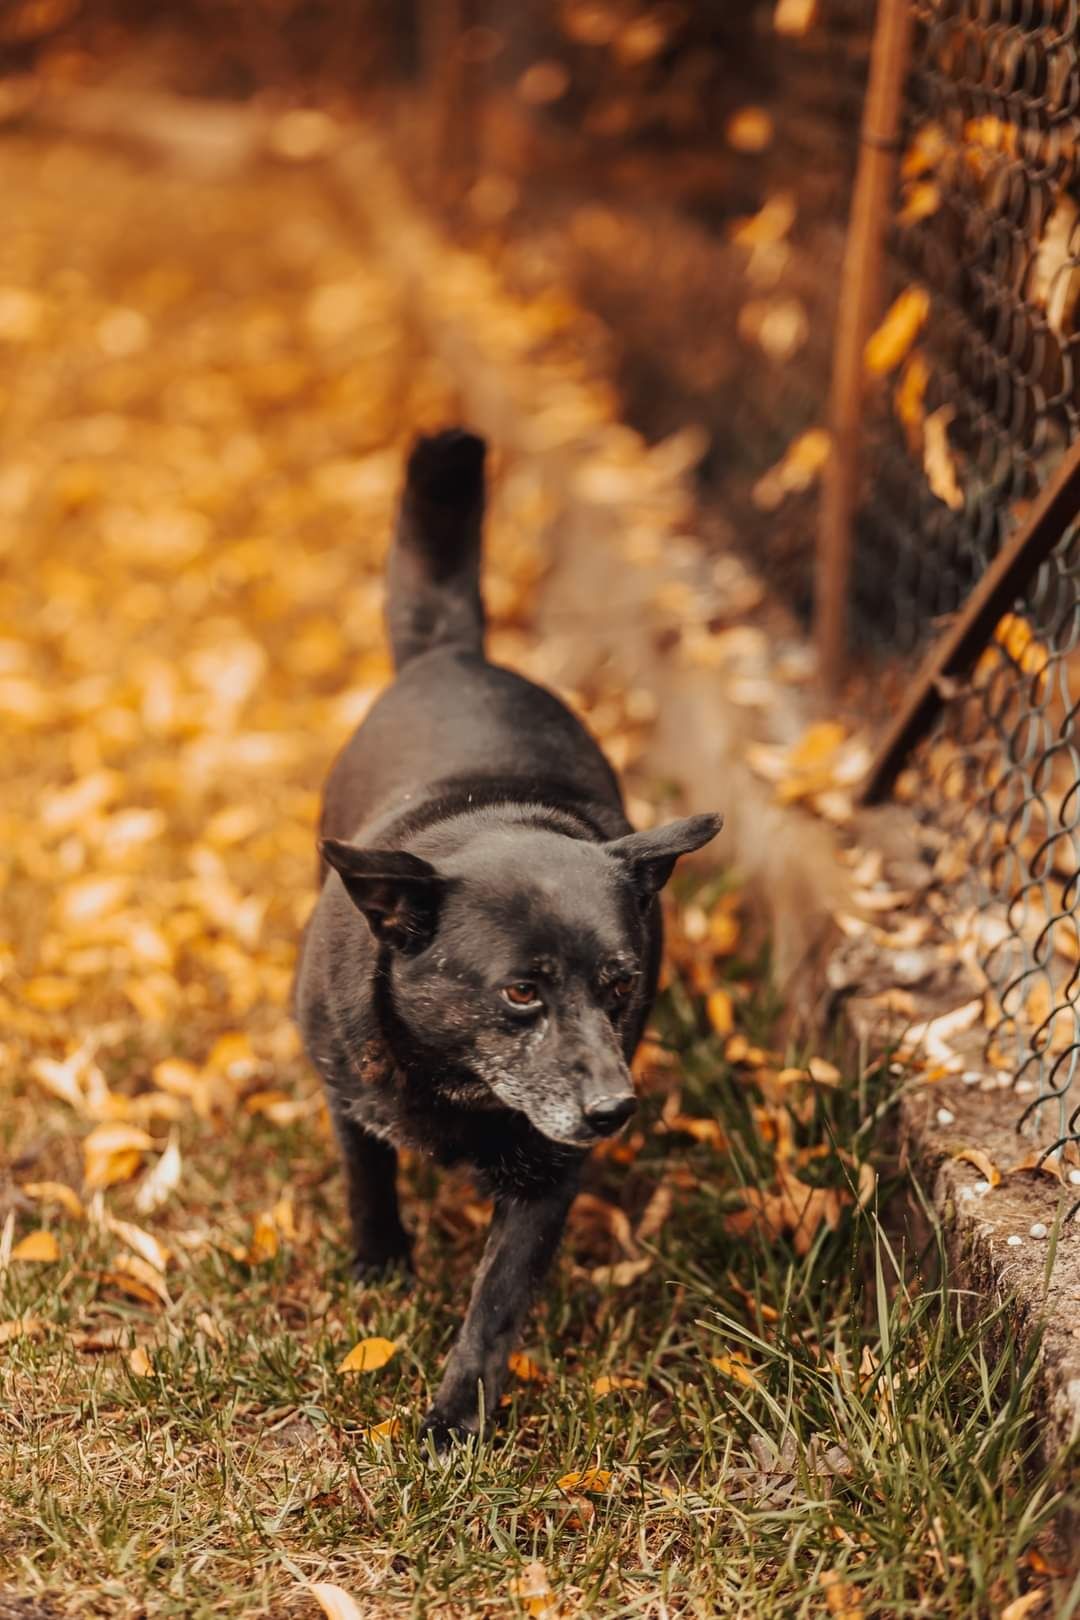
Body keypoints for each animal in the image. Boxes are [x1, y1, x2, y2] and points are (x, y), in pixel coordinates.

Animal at [291, 427, 722, 1445]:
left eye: (619, 986)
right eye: (522, 990)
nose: (613, 1111)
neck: (459, 1084)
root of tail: (457, 655)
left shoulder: (547, 1175)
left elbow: (493, 1308)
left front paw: (456, 1423)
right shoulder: (346, 1092)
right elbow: (367, 1178)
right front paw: (380, 1268)